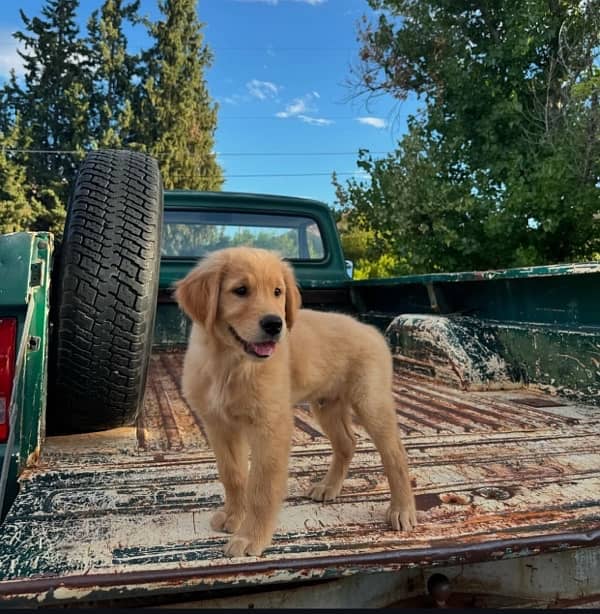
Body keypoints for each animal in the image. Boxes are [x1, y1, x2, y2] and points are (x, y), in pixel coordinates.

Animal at [176, 247, 414, 560]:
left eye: (278, 292)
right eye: (240, 290)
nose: (275, 324)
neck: (229, 364)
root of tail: (369, 329)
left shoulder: (271, 426)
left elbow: (262, 488)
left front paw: (251, 538)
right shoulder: (219, 426)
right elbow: (233, 475)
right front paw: (233, 517)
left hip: (371, 401)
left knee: (394, 453)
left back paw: (402, 509)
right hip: (327, 405)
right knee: (347, 443)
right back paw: (328, 487)